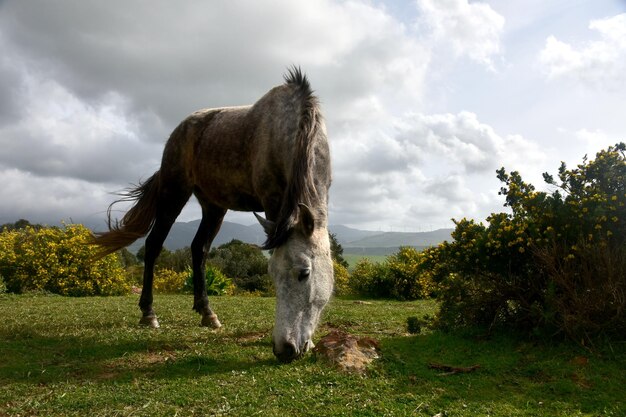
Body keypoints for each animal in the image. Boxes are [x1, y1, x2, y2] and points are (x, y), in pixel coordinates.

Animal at [92, 68, 332, 360]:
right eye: (272, 275)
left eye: (304, 273)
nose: (284, 349)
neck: (293, 129)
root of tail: (179, 131)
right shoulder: (273, 202)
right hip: (174, 194)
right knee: (154, 244)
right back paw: (149, 314)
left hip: (213, 206)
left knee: (199, 248)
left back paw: (207, 313)